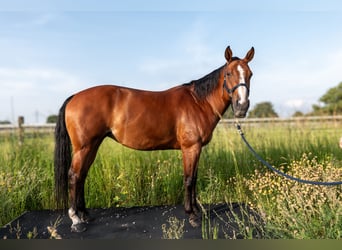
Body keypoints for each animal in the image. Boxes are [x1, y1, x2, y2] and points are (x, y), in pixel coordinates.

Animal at [54, 45, 254, 232]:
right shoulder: (191, 148)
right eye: (228, 73)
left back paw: (85, 214)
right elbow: (189, 179)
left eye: (250, 74)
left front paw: (197, 210)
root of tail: (74, 97)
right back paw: (76, 219)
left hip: (92, 146)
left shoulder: (196, 149)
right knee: (74, 176)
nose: (242, 106)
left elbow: (195, 178)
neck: (199, 102)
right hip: (84, 147)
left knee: (82, 176)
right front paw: (192, 215)